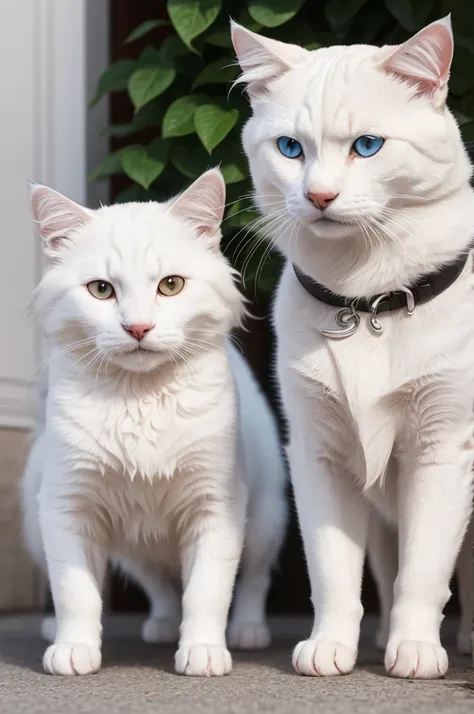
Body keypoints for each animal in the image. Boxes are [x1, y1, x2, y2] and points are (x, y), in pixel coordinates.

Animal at [231, 13, 474, 676]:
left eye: (367, 146)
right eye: (290, 148)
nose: (318, 196)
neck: (368, 304)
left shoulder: (443, 449)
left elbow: (426, 570)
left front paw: (416, 649)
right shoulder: (320, 454)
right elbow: (334, 569)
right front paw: (332, 645)